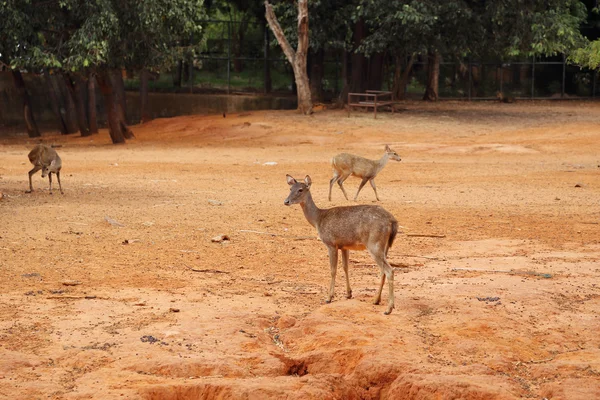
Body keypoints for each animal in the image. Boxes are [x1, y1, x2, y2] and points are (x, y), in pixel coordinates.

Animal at [284, 175, 398, 316]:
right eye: (290, 188)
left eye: (300, 189)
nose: (286, 201)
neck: (318, 220)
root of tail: (392, 221)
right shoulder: (344, 246)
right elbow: (345, 267)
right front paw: (349, 293)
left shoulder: (331, 243)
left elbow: (333, 270)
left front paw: (329, 297)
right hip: (384, 246)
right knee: (383, 270)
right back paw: (376, 300)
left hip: (374, 244)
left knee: (389, 270)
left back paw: (388, 308)